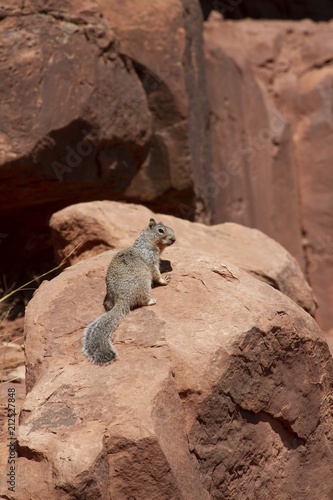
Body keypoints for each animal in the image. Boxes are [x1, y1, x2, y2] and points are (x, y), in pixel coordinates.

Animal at [81, 218, 175, 364]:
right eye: (161, 230)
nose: (174, 239)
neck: (146, 242)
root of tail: (121, 299)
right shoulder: (151, 260)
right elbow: (156, 274)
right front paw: (164, 280)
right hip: (144, 283)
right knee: (142, 300)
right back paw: (151, 301)